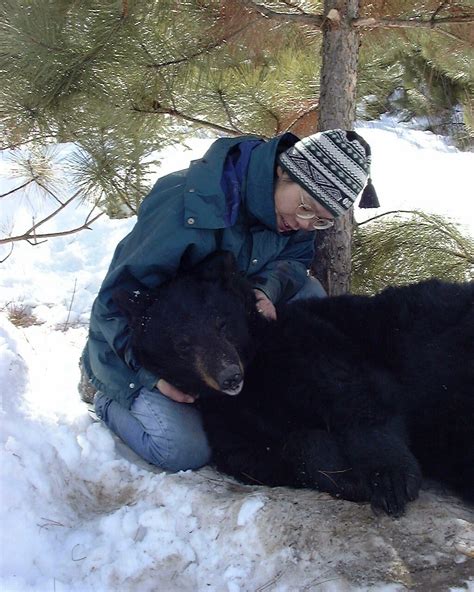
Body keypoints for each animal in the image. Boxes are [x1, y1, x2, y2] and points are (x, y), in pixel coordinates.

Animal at [115, 252, 474, 516]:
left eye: (222, 323)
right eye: (183, 344)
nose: (229, 376)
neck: (256, 372)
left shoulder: (308, 342)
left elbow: (359, 394)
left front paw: (390, 479)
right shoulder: (226, 418)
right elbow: (265, 455)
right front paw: (347, 475)